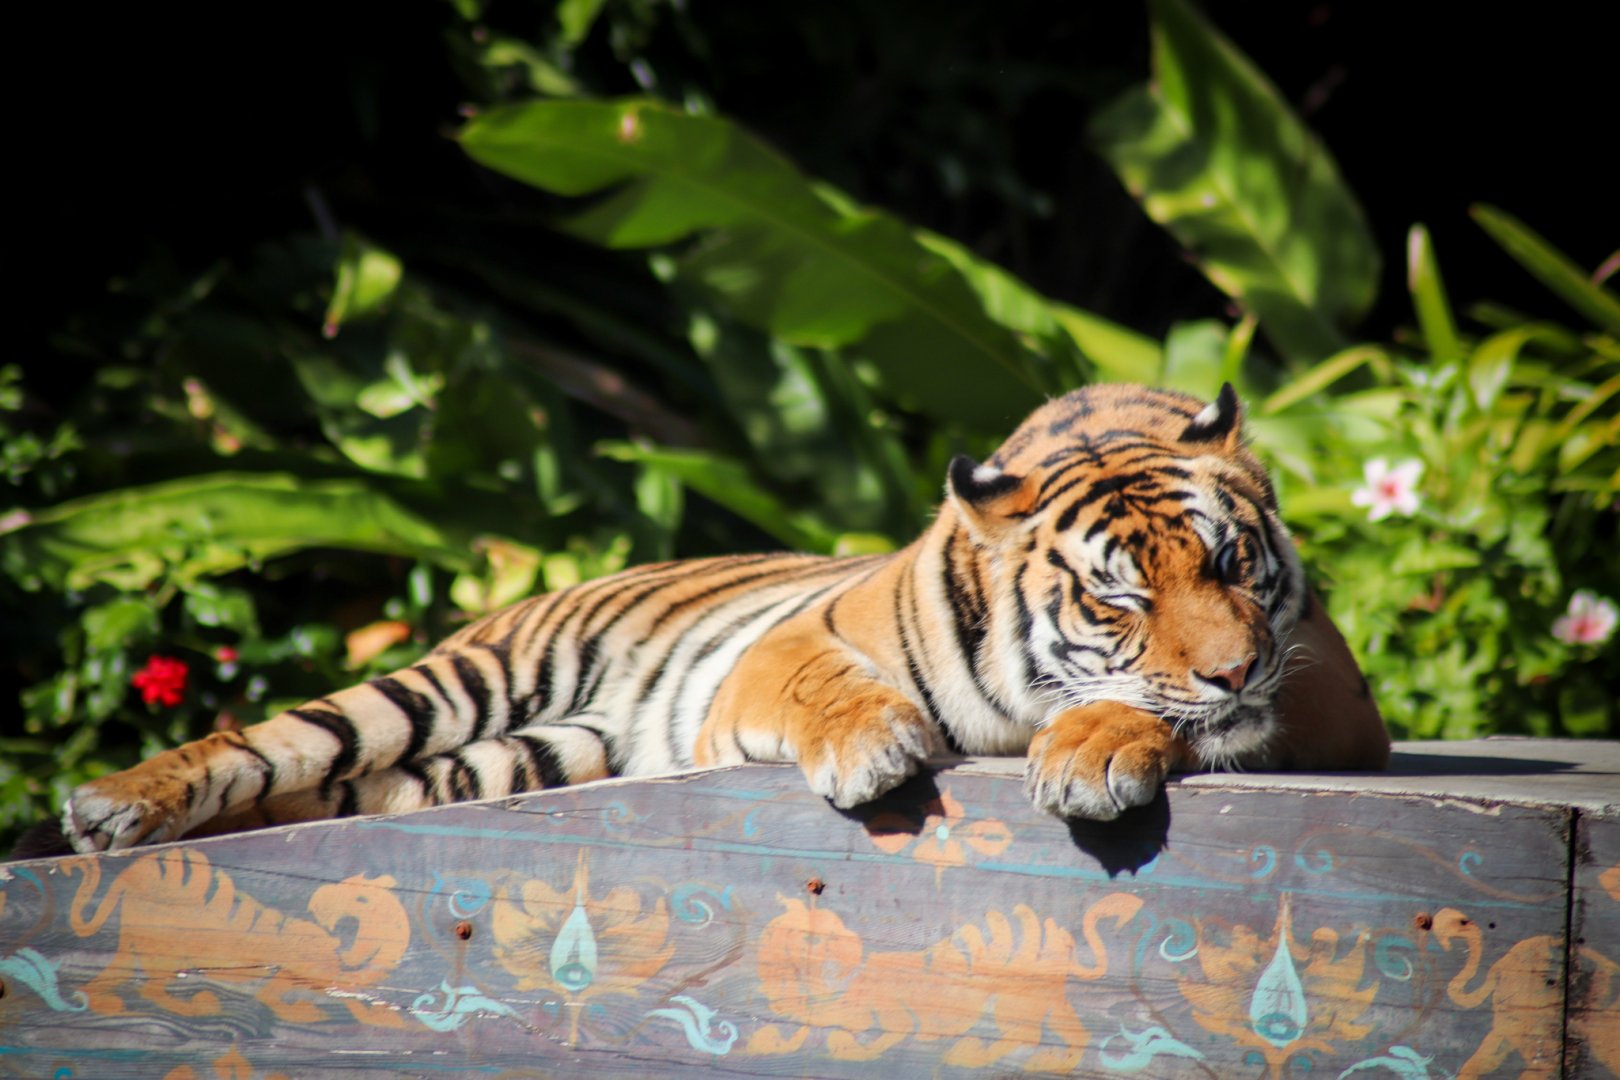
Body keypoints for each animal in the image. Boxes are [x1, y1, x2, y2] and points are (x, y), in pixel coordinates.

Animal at [51, 382, 1388, 855]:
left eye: (1232, 562)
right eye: (1119, 595)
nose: (1229, 673)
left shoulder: (1327, 689)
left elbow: (1173, 715)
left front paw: (1102, 746)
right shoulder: (786, 647)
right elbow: (826, 688)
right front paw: (875, 747)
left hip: (497, 764)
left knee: (327, 796)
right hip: (443, 691)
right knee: (261, 742)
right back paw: (110, 808)